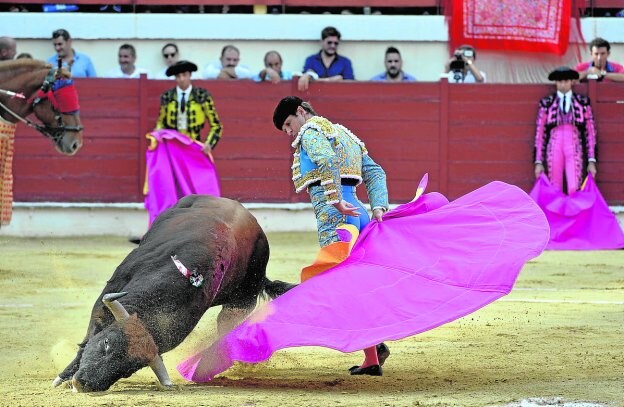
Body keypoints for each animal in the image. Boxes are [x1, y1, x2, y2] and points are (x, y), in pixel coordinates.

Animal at [51, 196, 294, 394]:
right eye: (107, 342)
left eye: (130, 369)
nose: (84, 384)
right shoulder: (105, 301)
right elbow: (87, 339)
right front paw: (62, 377)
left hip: (242, 300)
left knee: (225, 326)